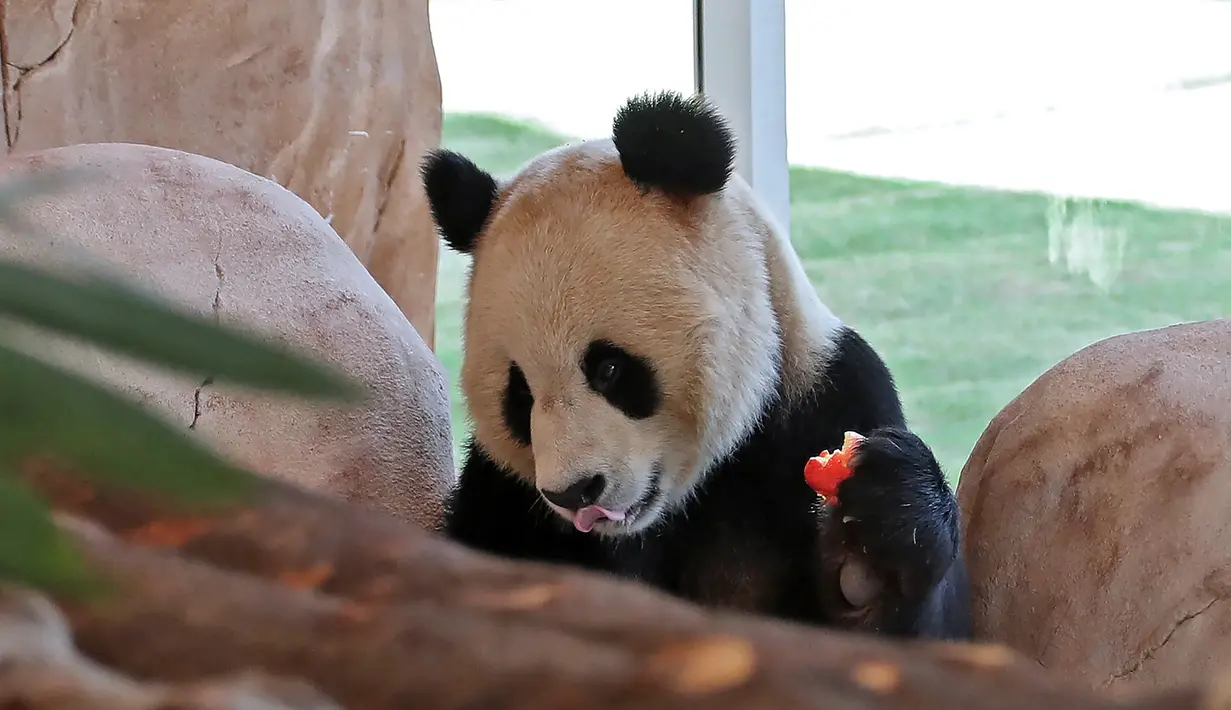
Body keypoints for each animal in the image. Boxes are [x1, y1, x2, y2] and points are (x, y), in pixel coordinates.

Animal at [422, 91, 972, 640]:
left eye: (609, 370)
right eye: (520, 395)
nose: (574, 493)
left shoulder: (831, 394)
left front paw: (871, 554)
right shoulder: (504, 493)